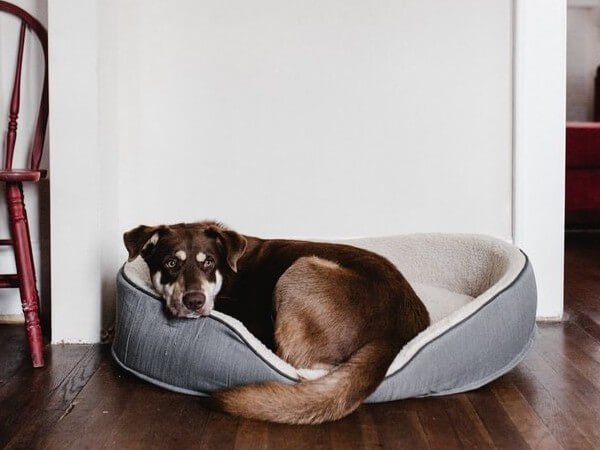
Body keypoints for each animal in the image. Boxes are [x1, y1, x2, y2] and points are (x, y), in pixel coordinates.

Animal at [124, 221, 428, 426]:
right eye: (171, 263)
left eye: (208, 262)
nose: (194, 301)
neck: (227, 274)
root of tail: (396, 333)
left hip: (300, 269)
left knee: (296, 362)